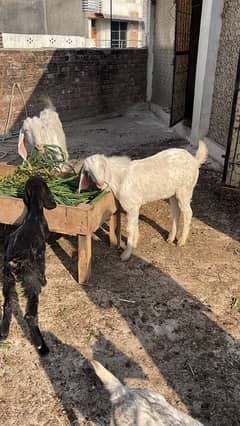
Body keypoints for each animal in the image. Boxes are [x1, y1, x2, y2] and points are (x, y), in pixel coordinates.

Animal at [0, 175, 56, 354]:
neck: (33, 215)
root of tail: (14, 261)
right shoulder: (41, 252)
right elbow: (43, 269)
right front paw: (45, 281)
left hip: (8, 280)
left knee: (8, 305)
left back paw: (3, 332)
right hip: (31, 284)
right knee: (30, 315)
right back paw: (41, 346)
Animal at [79, 141, 208, 260]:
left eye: (102, 166)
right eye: (88, 171)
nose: (100, 183)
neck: (119, 178)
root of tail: (195, 160)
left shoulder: (132, 205)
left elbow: (130, 228)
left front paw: (126, 254)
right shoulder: (134, 206)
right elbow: (134, 225)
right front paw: (135, 243)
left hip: (185, 189)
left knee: (188, 213)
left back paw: (181, 241)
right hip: (174, 193)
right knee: (176, 212)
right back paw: (171, 238)